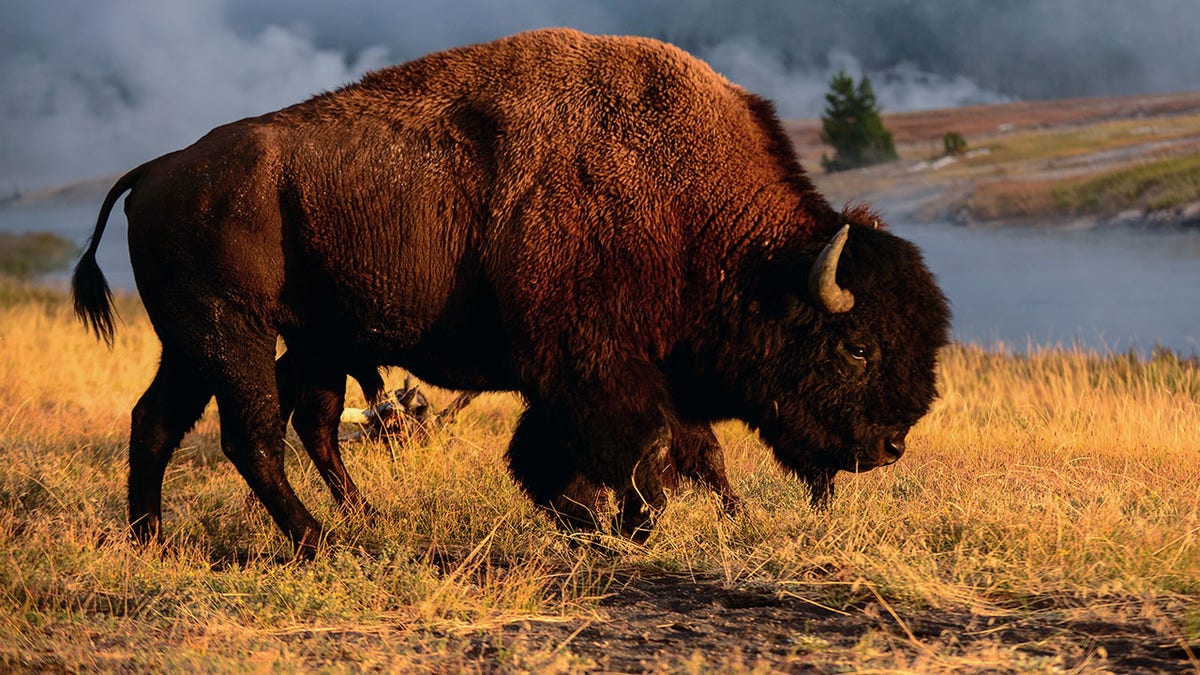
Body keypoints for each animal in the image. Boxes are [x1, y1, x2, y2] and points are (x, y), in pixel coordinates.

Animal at [72, 28, 945, 552]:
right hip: (235, 330)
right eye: (857, 348)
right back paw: (319, 541)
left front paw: (642, 523)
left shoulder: (622, 369)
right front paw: (623, 529)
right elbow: (645, 452)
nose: (890, 446)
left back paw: (162, 538)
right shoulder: (593, 365)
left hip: (225, 341)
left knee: (172, 421)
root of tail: (159, 169)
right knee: (251, 433)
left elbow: (684, 450)